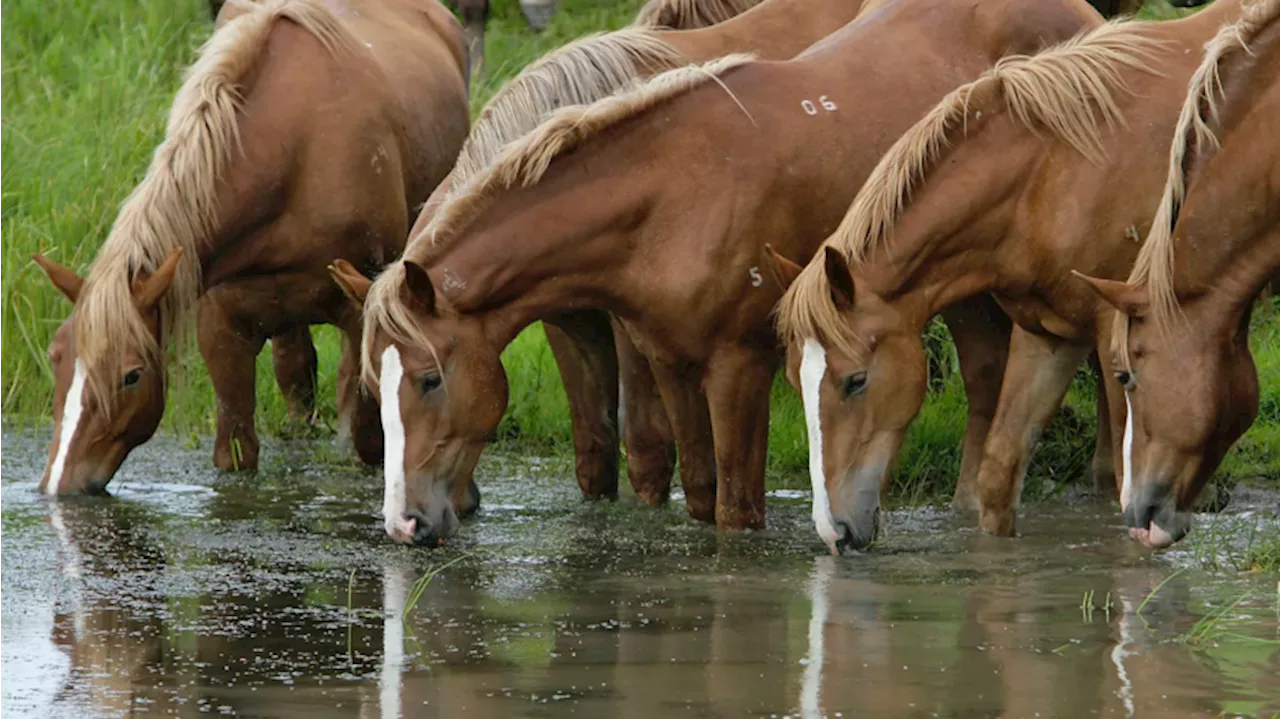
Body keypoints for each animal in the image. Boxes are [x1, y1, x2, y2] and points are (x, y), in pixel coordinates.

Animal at [30, 0, 471, 491]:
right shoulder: (222, 329)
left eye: (131, 375)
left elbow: (369, 440)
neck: (295, 152)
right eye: (56, 356)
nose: (59, 485)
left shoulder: (363, 318)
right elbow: (236, 447)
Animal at [335, 0, 1105, 542]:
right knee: (987, 374)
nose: (404, 523)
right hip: (956, 282)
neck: (670, 195)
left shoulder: (739, 366)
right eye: (376, 384)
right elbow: (698, 493)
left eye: (430, 379)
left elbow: (735, 509)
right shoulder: (669, 361)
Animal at [768, 1, 1239, 547]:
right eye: (794, 380)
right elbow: (998, 473)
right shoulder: (1049, 333)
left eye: (855, 381)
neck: (1054, 171)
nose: (834, 532)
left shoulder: (1117, 340)